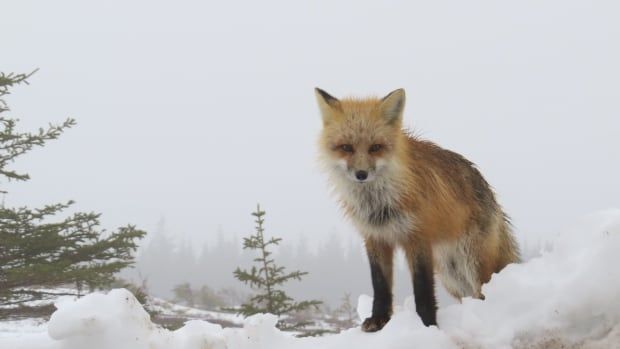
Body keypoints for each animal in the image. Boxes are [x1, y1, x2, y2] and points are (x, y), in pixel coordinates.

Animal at [314, 88, 520, 330]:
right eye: (346, 147)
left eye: (376, 147)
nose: (361, 174)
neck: (380, 204)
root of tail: (491, 194)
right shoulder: (375, 238)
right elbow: (380, 286)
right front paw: (379, 320)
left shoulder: (418, 237)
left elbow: (422, 289)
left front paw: (427, 324)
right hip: (452, 274)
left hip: (473, 264)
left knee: (485, 290)